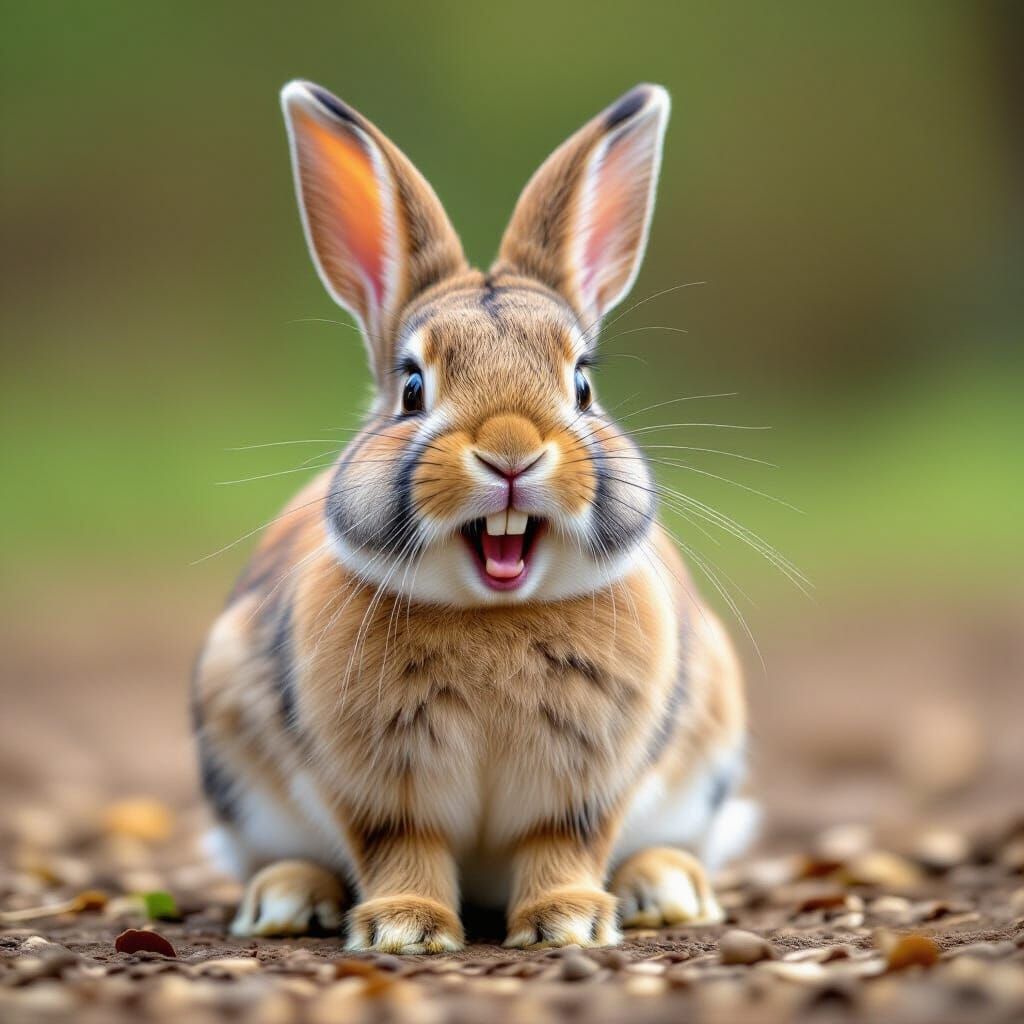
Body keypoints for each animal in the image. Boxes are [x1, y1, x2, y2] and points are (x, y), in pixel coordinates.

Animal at [192, 79, 756, 952]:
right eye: (412, 387)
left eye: (583, 384)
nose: (511, 450)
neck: (493, 615)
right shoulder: (382, 790)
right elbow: (403, 849)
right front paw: (405, 929)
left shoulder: (584, 788)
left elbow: (562, 845)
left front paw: (568, 923)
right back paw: (285, 899)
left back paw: (664, 889)